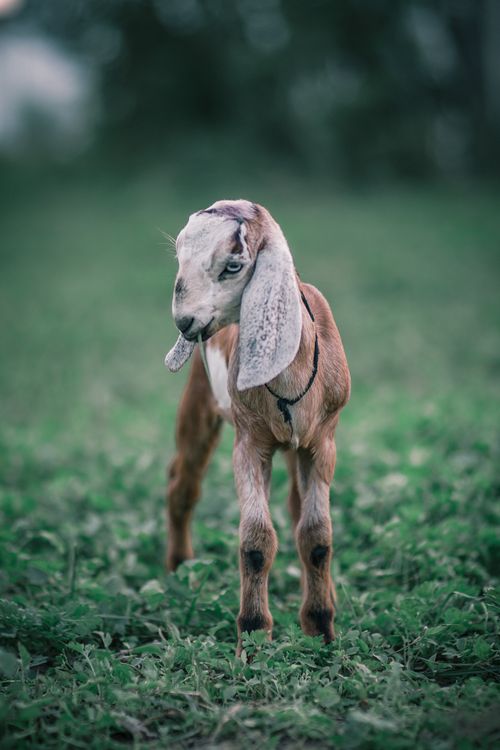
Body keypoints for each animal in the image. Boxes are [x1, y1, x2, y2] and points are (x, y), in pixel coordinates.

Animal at [164, 200, 350, 651]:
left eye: (233, 265)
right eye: (179, 256)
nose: (184, 322)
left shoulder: (322, 442)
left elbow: (316, 536)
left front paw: (321, 630)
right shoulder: (249, 442)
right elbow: (256, 541)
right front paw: (253, 638)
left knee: (298, 508)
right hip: (199, 398)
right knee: (183, 484)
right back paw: (178, 569)